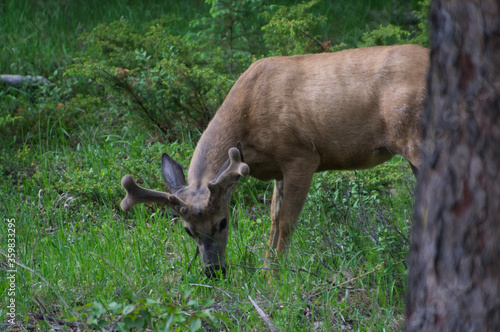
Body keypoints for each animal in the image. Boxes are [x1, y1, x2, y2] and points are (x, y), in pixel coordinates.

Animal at [120, 44, 430, 278]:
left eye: (223, 222)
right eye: (187, 231)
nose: (214, 272)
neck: (247, 117)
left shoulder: (302, 155)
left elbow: (286, 223)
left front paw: (277, 277)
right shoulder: (278, 168)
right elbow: (272, 218)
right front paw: (266, 270)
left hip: (414, 137)